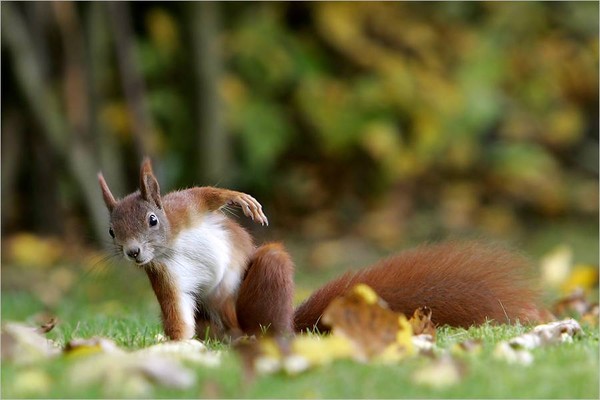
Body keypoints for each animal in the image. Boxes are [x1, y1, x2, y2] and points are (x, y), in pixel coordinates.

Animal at [97, 158, 540, 340]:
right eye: (111, 231)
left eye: (153, 220)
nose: (134, 253)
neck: (172, 244)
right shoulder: (165, 275)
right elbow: (177, 317)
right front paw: (176, 347)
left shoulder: (184, 207)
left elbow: (208, 195)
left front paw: (242, 200)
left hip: (262, 291)